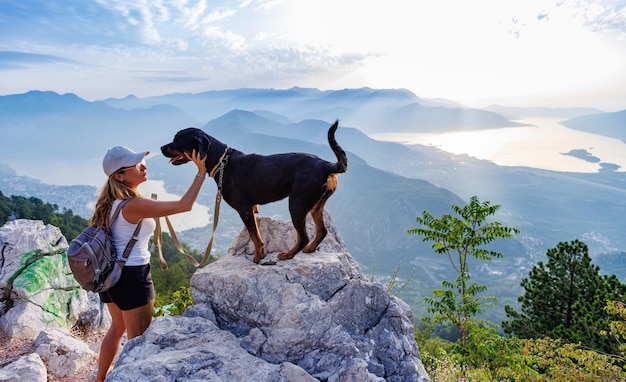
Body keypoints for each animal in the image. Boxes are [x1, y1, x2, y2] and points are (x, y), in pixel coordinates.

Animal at [161, 121, 346, 264]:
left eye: (177, 140)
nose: (161, 147)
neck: (222, 162)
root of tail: (325, 165)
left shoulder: (244, 209)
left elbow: (254, 235)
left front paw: (257, 257)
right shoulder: (252, 208)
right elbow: (256, 233)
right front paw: (261, 253)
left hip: (297, 205)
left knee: (303, 236)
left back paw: (288, 254)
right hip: (316, 206)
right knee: (322, 230)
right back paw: (310, 248)